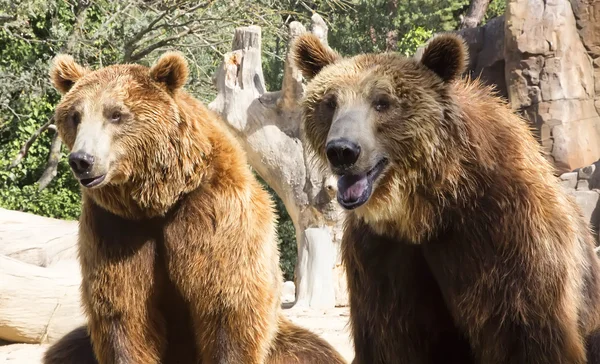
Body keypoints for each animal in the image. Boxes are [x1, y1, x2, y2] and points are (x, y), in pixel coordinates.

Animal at [43, 52, 346, 364]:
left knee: (311, 350)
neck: (157, 199)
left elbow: (227, 306)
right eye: (75, 115)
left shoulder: (214, 214)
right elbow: (123, 310)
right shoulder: (115, 227)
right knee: (65, 349)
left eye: (116, 114)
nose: (82, 160)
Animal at [290, 32, 600, 364]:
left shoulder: (508, 234)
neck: (429, 210)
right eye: (330, 102)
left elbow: (526, 333)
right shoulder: (383, 256)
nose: (342, 151)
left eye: (382, 102)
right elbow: (392, 338)